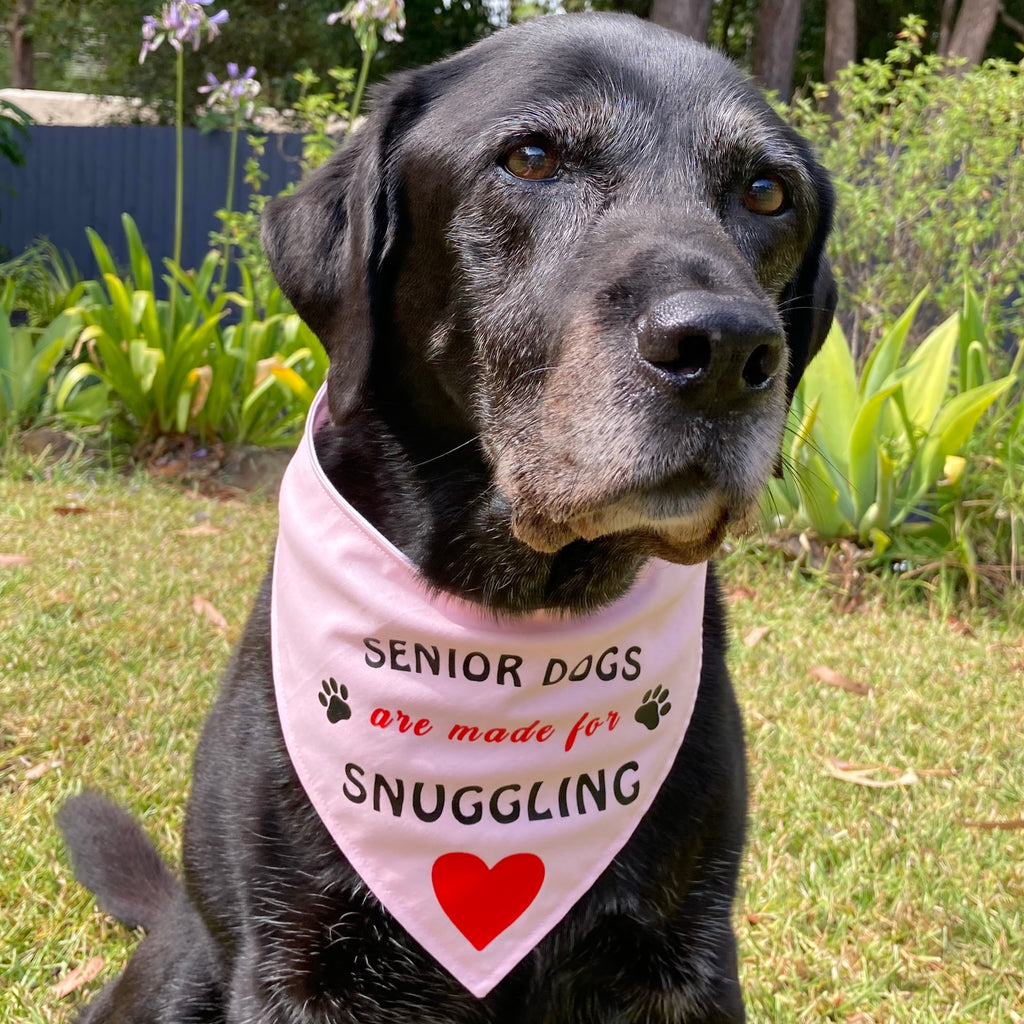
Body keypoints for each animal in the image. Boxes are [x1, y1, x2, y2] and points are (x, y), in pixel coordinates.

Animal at [59, 12, 835, 1019]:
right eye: (533, 157)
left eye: (767, 191)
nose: (729, 350)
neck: (514, 616)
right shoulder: (295, 961)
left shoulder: (684, 957)